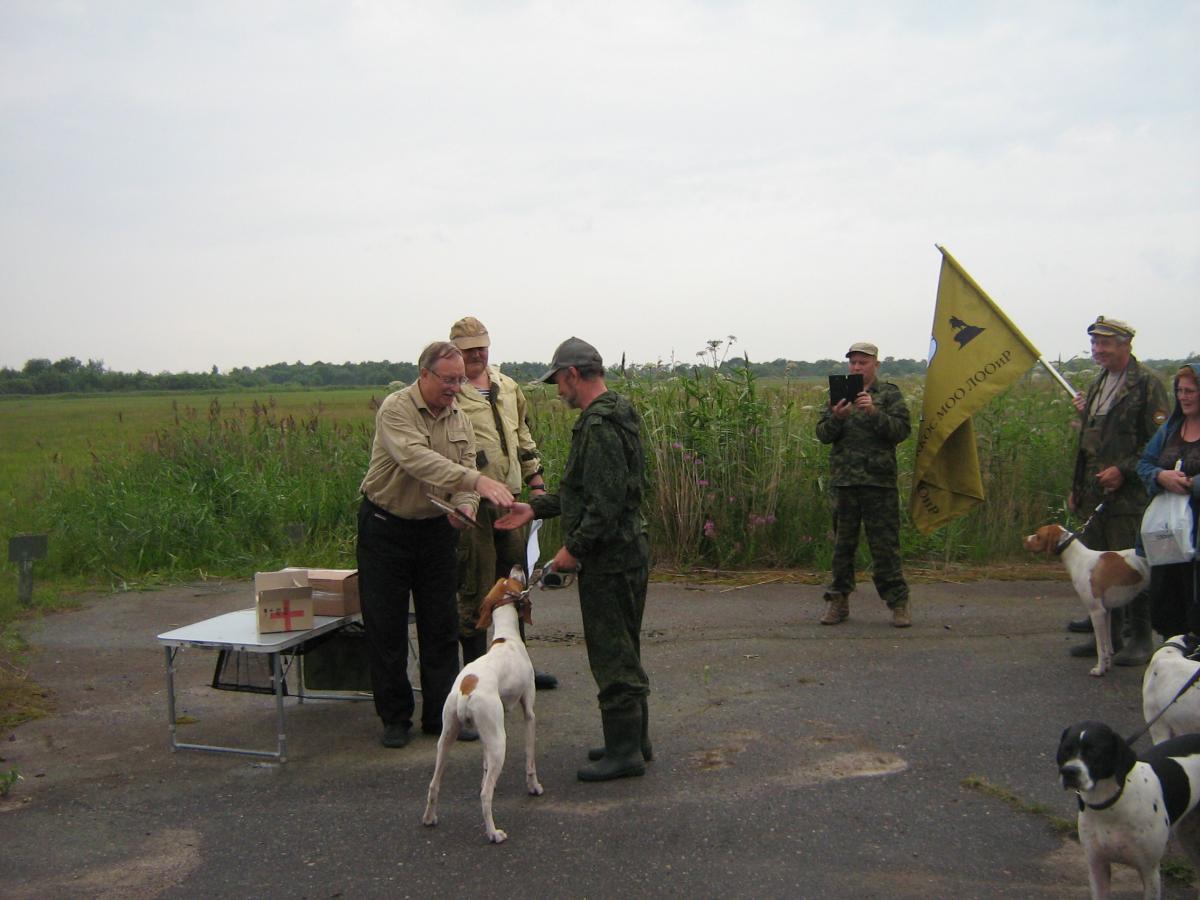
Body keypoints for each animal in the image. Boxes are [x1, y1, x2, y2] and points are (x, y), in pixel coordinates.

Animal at [422, 567, 543, 843]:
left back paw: (429, 818)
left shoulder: (487, 733)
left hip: (447, 738)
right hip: (500, 741)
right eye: (511, 580)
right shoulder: (528, 713)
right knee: (485, 796)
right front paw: (534, 787)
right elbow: (530, 759)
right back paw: (493, 833)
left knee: (434, 784)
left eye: (502, 579)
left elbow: (485, 766)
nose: (517, 567)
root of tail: (466, 689)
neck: (505, 638)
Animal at [1024, 524, 1150, 676]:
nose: (1023, 539)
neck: (1079, 559)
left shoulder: (1096, 612)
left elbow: (1100, 647)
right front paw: (1106, 666)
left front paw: (1099, 669)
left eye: (1038, 535)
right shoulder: (1106, 611)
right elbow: (1107, 644)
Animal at [1057, 720, 1200, 899]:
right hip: (1189, 837)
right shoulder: (1097, 865)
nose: (1069, 771)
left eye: (1094, 751)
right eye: (1066, 749)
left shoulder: (1149, 871)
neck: (1113, 805)